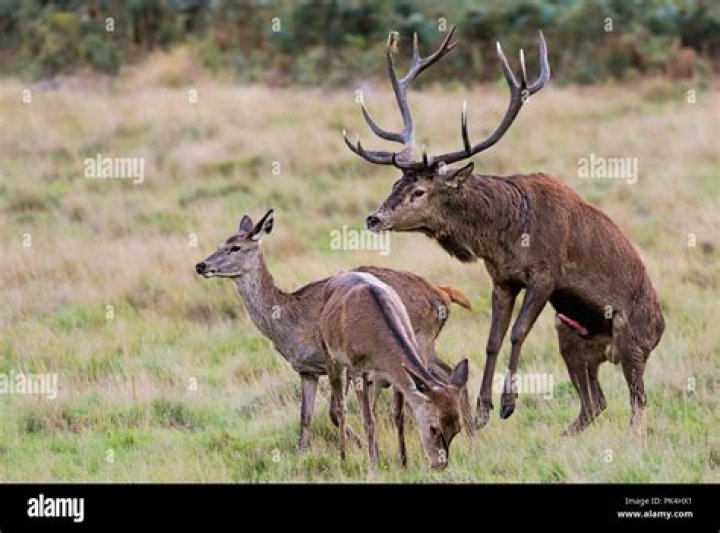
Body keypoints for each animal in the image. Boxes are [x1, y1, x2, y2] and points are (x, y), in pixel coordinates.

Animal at [319, 270, 468, 473]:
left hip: (375, 380)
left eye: (457, 428)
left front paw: (404, 463)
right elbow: (367, 420)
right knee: (341, 407)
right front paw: (373, 468)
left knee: (372, 408)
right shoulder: (357, 369)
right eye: (433, 428)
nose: (440, 464)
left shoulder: (393, 377)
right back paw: (343, 459)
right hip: (329, 353)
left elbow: (398, 416)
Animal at [343, 27, 665, 436]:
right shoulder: (502, 279)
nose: (374, 218)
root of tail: (661, 327)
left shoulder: (546, 274)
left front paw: (509, 403)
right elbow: (492, 340)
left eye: (419, 191)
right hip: (571, 334)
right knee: (596, 402)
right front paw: (482, 411)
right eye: (396, 183)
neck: (507, 235)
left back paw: (631, 435)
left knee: (639, 402)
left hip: (631, 339)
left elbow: (517, 332)